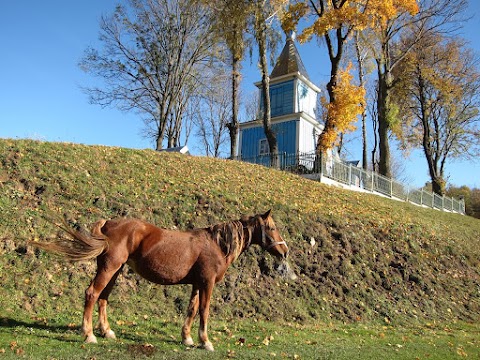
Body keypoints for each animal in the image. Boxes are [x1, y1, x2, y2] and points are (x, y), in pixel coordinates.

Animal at [34, 210, 288, 350]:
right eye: (271, 227)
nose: (285, 251)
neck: (217, 244)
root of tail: (109, 223)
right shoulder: (207, 283)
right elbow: (204, 311)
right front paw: (205, 341)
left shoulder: (197, 284)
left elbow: (191, 309)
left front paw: (187, 338)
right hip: (109, 269)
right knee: (92, 294)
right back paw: (88, 335)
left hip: (114, 271)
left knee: (103, 298)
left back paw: (107, 332)